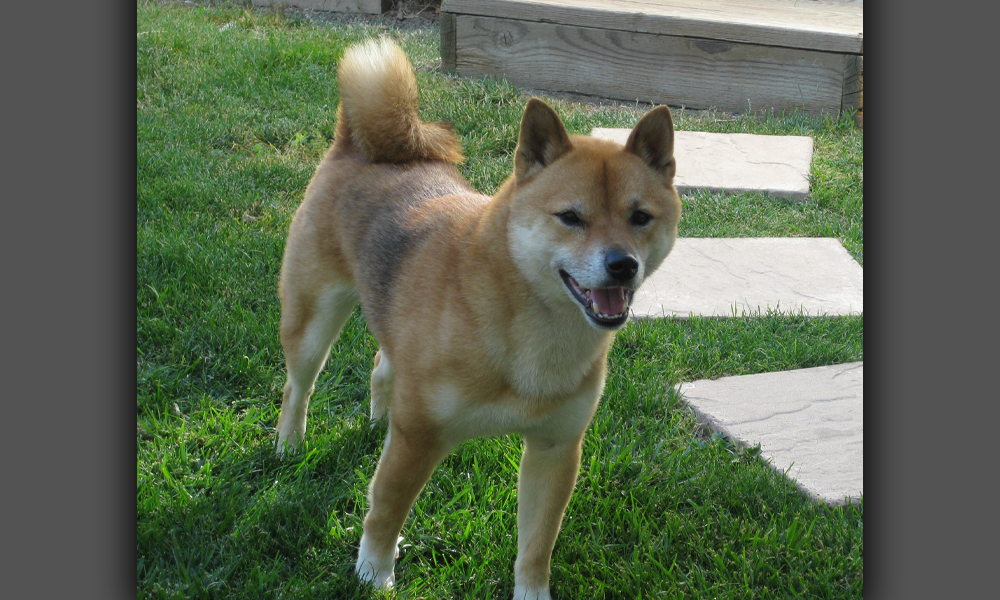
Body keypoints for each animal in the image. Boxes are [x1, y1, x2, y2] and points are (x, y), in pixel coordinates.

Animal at [272, 38, 680, 600]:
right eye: (570, 217)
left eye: (640, 217)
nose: (623, 264)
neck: (528, 330)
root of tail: (354, 145)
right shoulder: (418, 439)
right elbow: (385, 512)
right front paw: (374, 574)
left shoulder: (555, 448)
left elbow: (536, 546)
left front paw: (532, 593)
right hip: (312, 319)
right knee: (299, 385)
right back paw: (289, 445)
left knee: (382, 367)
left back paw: (377, 419)